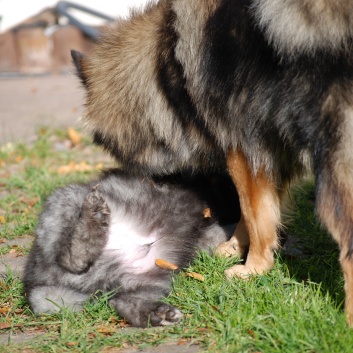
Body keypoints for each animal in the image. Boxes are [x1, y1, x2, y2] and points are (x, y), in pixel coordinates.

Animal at [71, 0, 352, 324]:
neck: (164, 62)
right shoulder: (268, 149)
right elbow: (258, 211)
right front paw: (234, 246)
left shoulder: (242, 148)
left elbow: (255, 215)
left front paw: (254, 267)